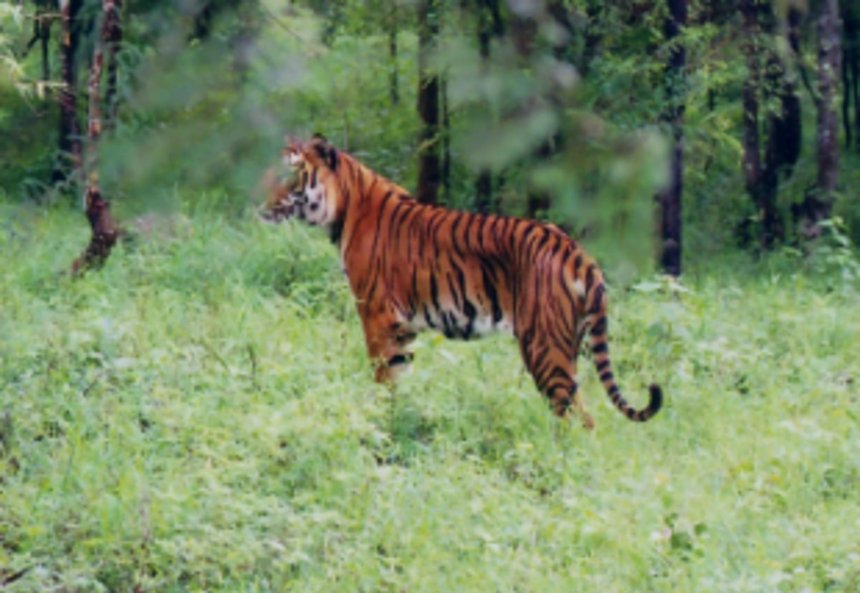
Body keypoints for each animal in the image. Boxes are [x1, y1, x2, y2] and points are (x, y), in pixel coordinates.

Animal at [259, 134, 663, 429]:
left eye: (290, 175)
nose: (258, 203)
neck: (344, 208)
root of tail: (576, 251)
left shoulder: (376, 315)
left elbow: (383, 381)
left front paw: (378, 425)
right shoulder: (402, 328)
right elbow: (400, 378)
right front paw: (399, 424)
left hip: (545, 347)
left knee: (579, 418)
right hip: (568, 344)